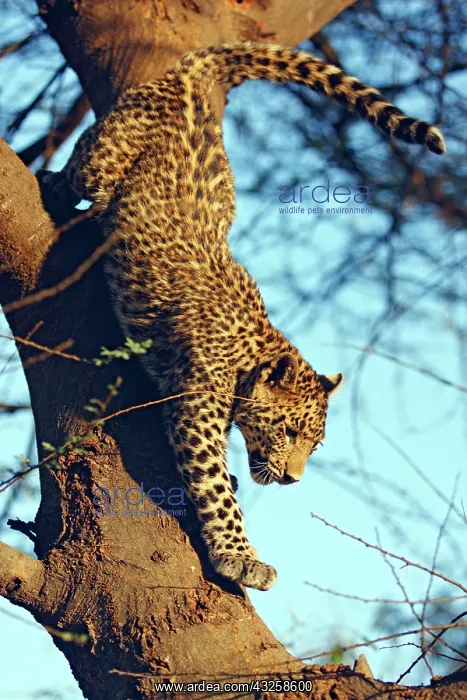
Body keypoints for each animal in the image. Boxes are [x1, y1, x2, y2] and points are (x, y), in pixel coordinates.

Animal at [38, 42, 445, 591]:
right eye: (290, 432)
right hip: (106, 155)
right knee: (83, 171)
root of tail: (189, 80)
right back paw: (56, 184)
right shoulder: (199, 406)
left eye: (315, 446)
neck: (252, 350)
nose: (294, 479)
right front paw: (241, 556)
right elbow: (213, 484)